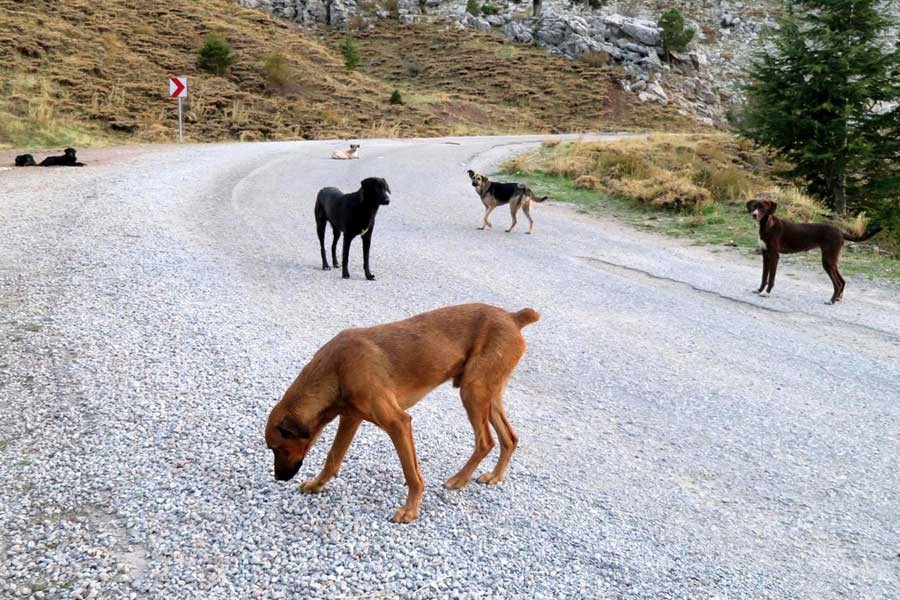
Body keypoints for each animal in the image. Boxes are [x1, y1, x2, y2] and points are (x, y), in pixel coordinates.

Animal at [264, 302, 536, 524]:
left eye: (277, 448)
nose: (278, 478)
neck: (336, 369)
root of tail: (512, 317)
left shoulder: (398, 423)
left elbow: (411, 473)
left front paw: (410, 510)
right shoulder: (351, 418)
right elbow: (333, 458)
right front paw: (317, 485)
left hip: (473, 392)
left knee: (485, 441)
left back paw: (459, 479)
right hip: (488, 395)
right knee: (510, 438)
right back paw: (495, 476)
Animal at [748, 199, 884, 304]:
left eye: (763, 207)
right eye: (754, 206)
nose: (754, 215)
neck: (767, 225)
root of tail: (840, 232)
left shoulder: (774, 256)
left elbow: (771, 278)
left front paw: (766, 293)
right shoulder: (765, 255)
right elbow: (764, 276)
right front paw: (759, 290)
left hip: (827, 260)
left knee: (838, 283)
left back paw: (831, 301)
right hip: (832, 261)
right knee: (842, 281)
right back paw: (837, 298)